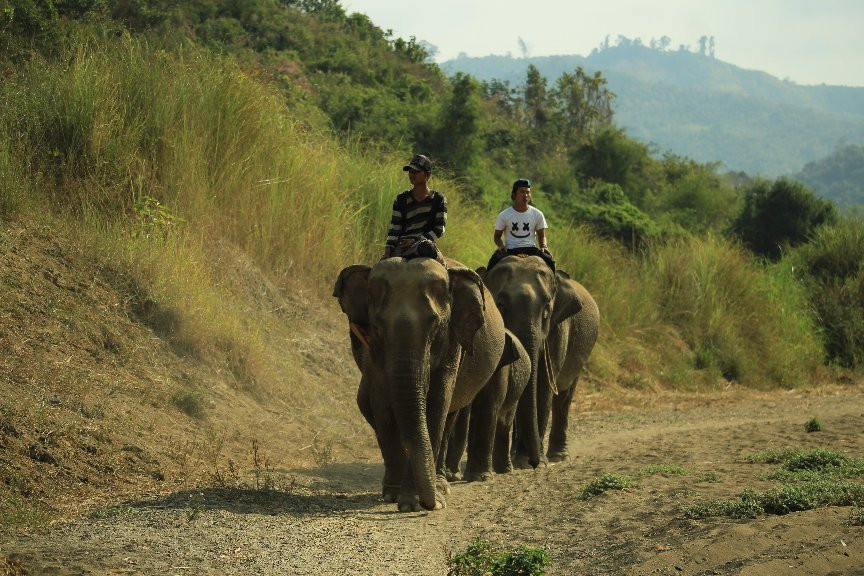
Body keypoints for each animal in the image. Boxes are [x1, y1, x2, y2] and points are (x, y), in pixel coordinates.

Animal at [330, 258, 506, 510]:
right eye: (377, 327)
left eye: (436, 327)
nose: (431, 505)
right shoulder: (370, 351)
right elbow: (382, 403)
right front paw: (396, 496)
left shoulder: (453, 342)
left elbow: (437, 402)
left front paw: (414, 501)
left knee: (448, 417)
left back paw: (441, 484)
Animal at [480, 256, 600, 468]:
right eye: (500, 304)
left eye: (546, 310)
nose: (535, 463)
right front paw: (522, 460)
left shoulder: (558, 329)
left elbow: (542, 386)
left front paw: (531, 462)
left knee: (564, 395)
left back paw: (558, 456)